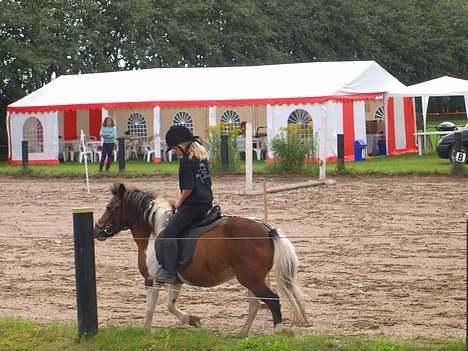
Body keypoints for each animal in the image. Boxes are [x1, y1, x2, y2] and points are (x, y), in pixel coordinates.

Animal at [93, 183, 308, 336]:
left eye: (110, 207)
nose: (97, 229)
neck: (154, 232)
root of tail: (266, 229)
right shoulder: (175, 281)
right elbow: (170, 305)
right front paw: (192, 320)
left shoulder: (151, 280)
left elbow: (150, 308)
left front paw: (146, 332)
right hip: (252, 280)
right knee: (255, 304)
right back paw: (241, 333)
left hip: (251, 279)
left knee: (272, 300)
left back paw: (276, 332)